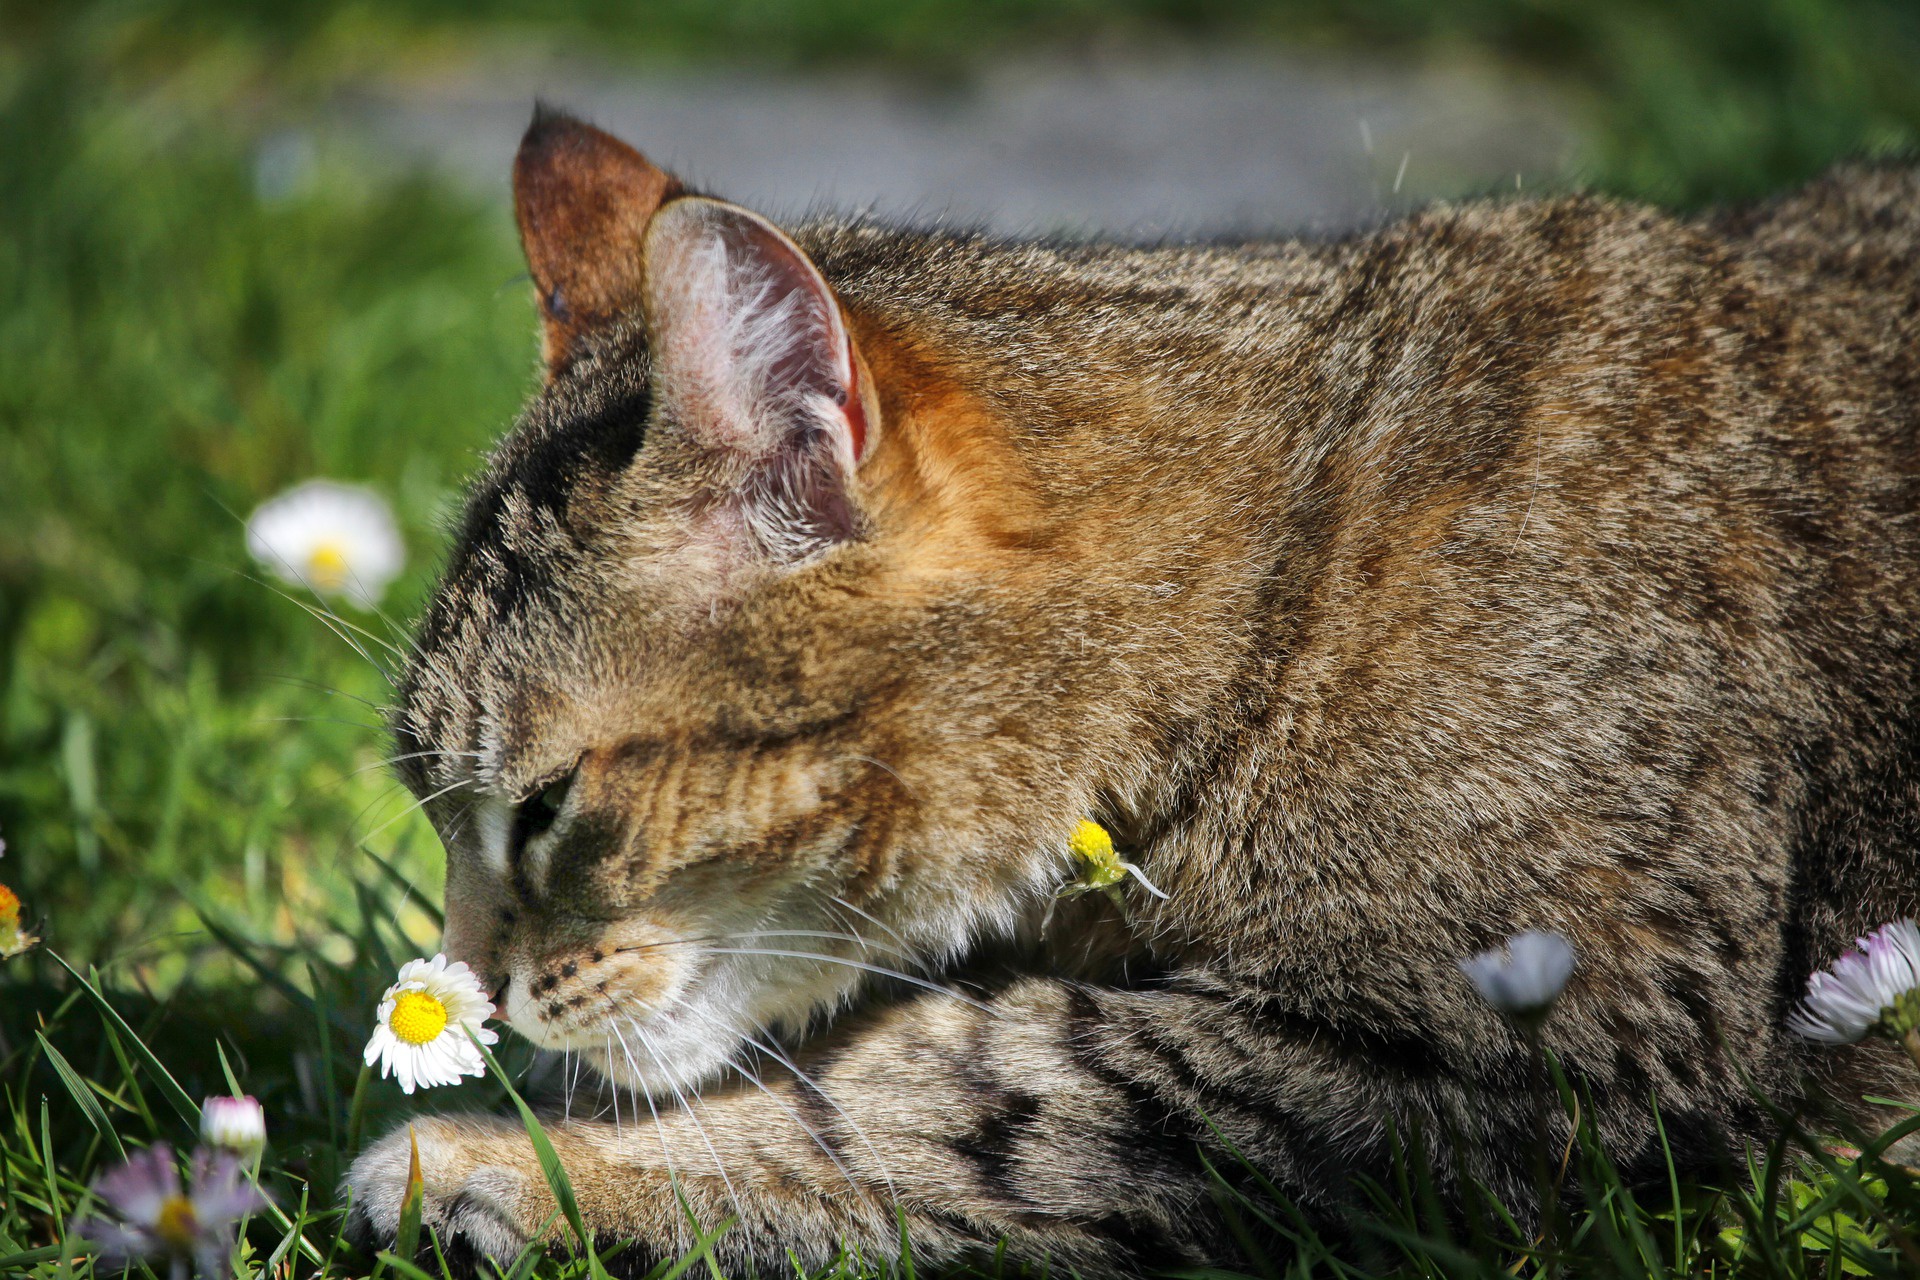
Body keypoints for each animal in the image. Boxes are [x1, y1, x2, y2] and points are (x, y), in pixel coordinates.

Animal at [345, 107, 1920, 1274]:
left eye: (547, 807)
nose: (471, 984)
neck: (1287, 600)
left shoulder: (1514, 1040)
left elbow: (947, 1089)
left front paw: (525, 1166)